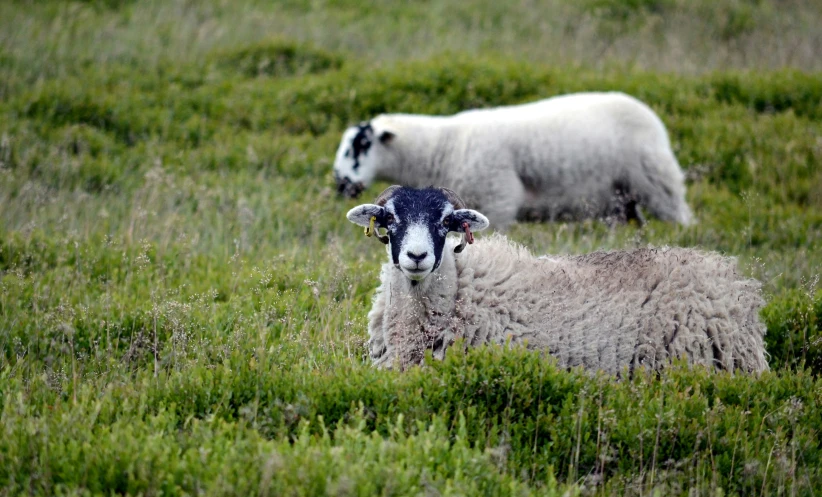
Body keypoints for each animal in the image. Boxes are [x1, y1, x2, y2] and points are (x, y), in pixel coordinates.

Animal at [334, 91, 696, 229]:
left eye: (361, 145)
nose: (341, 184)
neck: (443, 146)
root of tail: (649, 112)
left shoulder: (499, 202)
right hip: (623, 200)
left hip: (657, 181)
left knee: (680, 215)